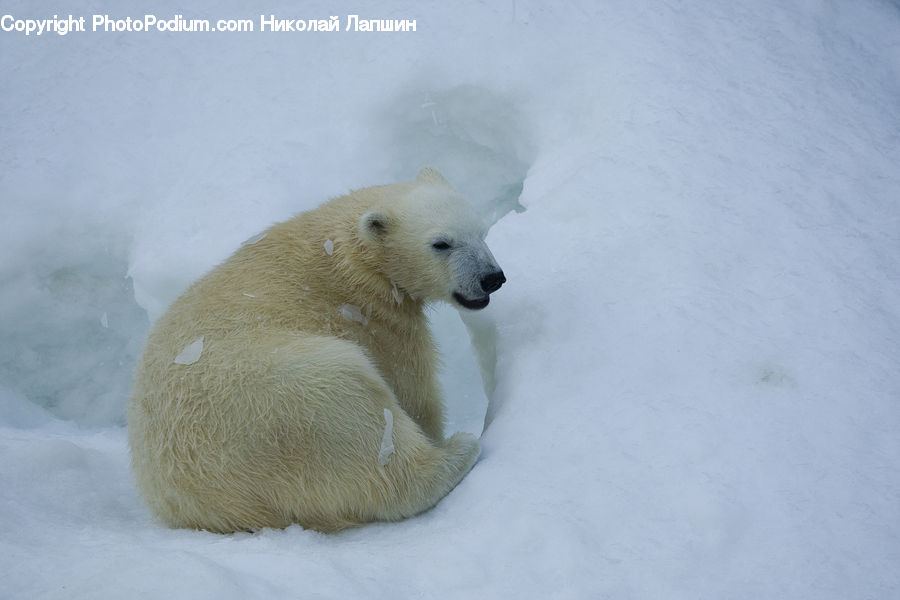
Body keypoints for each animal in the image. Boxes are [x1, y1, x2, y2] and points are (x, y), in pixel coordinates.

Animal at [128, 167, 506, 533]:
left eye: (481, 232)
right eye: (441, 243)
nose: (492, 278)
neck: (346, 254)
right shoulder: (376, 321)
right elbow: (413, 390)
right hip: (289, 402)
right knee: (364, 427)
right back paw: (458, 450)